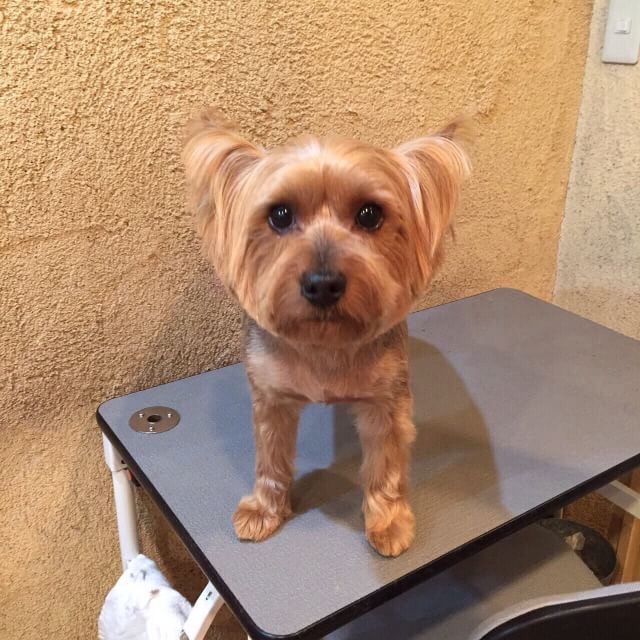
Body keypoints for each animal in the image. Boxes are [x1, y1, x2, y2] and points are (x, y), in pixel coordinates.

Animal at [183, 110, 470, 556]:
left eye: (370, 214)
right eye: (280, 215)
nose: (322, 283)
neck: (324, 342)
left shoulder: (386, 400)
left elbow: (386, 461)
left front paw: (388, 522)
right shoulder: (270, 397)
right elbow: (270, 457)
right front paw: (264, 509)